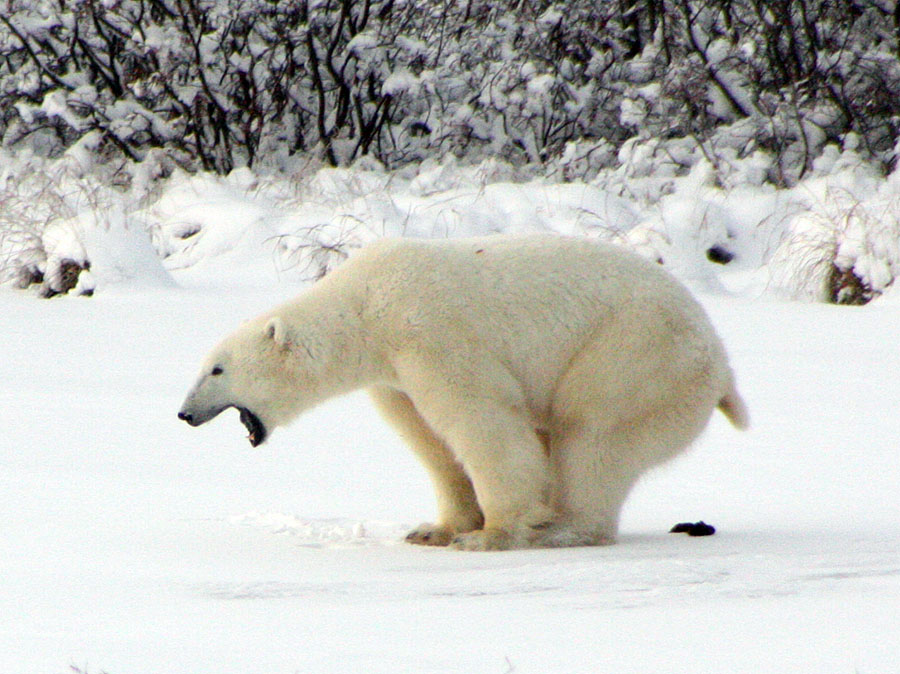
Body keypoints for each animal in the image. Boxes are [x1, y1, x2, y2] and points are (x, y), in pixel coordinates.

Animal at [176, 234, 744, 548]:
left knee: (592, 433)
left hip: (638, 352)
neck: (365, 306)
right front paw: (433, 529)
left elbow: (482, 418)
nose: (183, 414)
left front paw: (491, 534)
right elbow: (430, 439)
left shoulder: (430, 330)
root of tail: (721, 364)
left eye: (217, 370)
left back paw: (561, 528)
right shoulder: (394, 375)